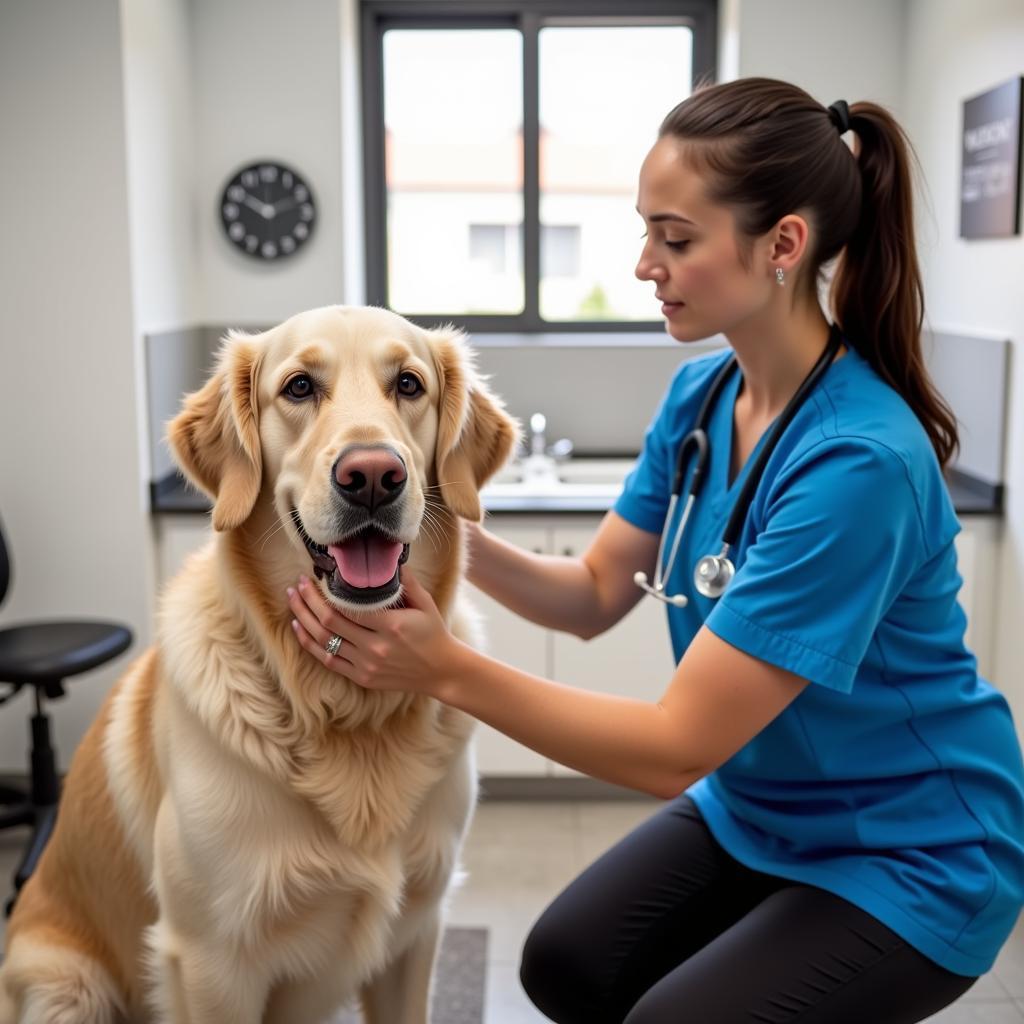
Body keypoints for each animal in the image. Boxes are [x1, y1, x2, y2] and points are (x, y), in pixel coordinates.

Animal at [0, 305, 512, 1024]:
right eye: (298, 387)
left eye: (409, 385)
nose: (373, 477)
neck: (341, 707)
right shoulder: (211, 961)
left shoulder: (416, 932)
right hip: (65, 987)